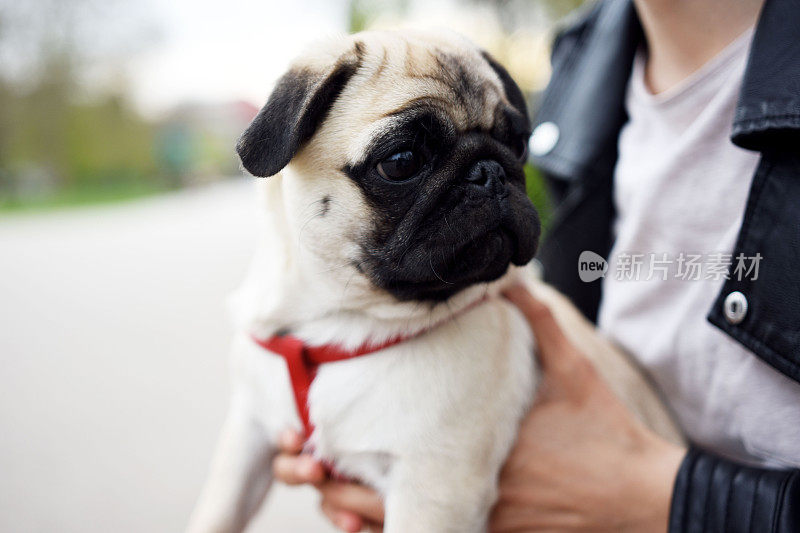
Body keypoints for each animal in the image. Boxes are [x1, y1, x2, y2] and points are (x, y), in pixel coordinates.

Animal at [188, 30, 680, 532]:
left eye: (519, 144)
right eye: (402, 161)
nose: (491, 171)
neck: (338, 321)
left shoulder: (435, 487)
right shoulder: (247, 433)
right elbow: (218, 508)